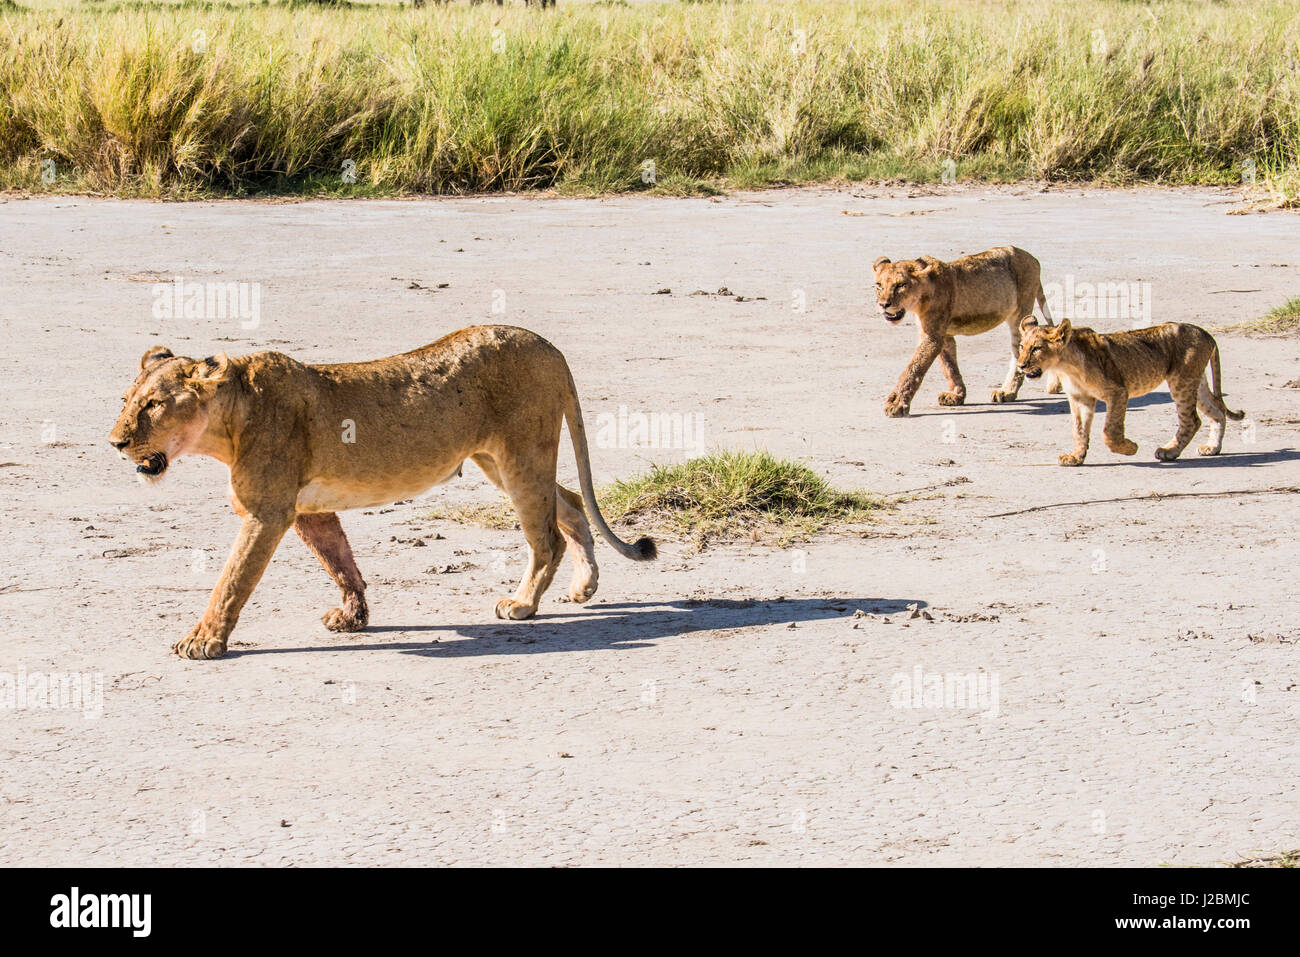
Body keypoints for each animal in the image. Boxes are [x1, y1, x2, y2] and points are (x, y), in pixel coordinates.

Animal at [108, 326, 656, 660]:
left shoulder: (268, 512)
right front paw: (353, 617)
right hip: (499, 462)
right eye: (126, 400)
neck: (227, 423)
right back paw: (584, 588)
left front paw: (203, 641)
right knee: (573, 505)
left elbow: (231, 581)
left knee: (547, 537)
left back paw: (522, 604)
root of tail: (547, 344)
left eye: (153, 405)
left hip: (522, 457)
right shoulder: (308, 510)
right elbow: (341, 564)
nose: (116, 442)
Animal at [873, 245, 1063, 417]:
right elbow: (949, 366)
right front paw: (956, 395)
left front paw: (896, 404)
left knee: (1019, 352)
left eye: (900, 285)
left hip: (1020, 312)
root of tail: (1032, 258)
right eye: (879, 285)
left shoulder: (932, 336)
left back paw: (1007, 392)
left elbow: (913, 368)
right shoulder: (943, 335)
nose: (883, 304)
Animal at [1016, 317, 1245, 466]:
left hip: (1181, 381)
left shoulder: (1118, 392)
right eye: (1021, 346)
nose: (1020, 366)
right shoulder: (1080, 398)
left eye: (1036, 348)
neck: (1065, 365)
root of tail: (1205, 333)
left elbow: (1109, 431)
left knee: (1192, 420)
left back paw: (1169, 451)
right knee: (1217, 412)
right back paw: (1212, 448)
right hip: (1196, 382)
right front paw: (1076, 457)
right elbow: (1079, 431)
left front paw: (1129, 448)